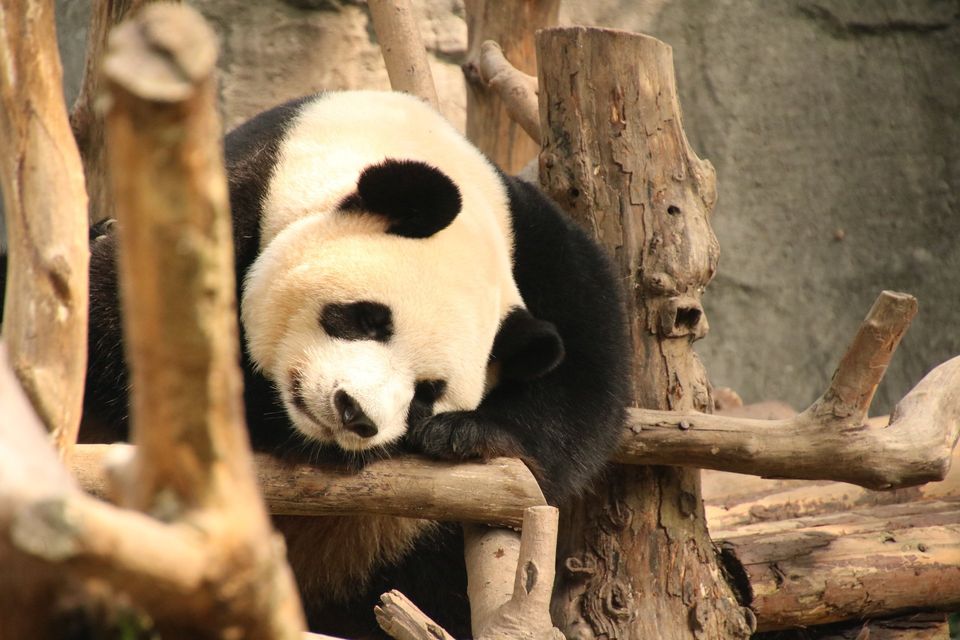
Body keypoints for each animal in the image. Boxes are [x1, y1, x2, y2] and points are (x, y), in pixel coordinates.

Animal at [37, 89, 632, 636]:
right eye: (367, 319)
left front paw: (466, 432)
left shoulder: (536, 242)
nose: (355, 414)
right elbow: (131, 338)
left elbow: (588, 377)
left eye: (427, 393)